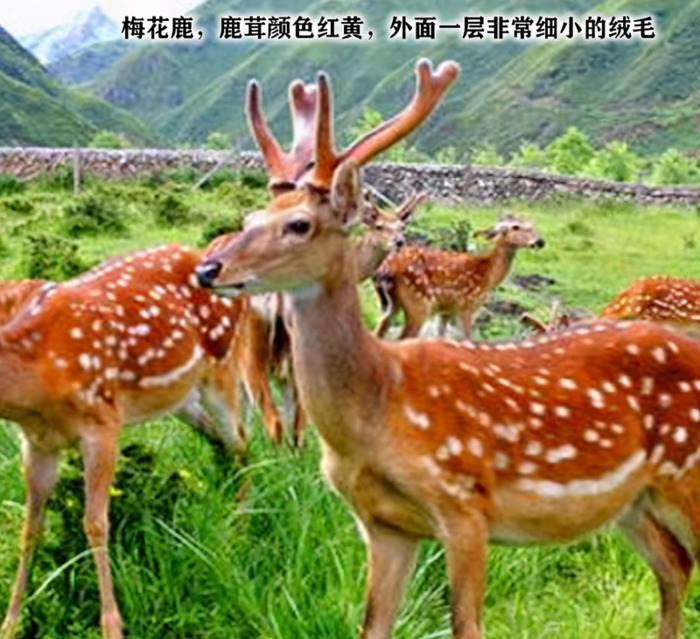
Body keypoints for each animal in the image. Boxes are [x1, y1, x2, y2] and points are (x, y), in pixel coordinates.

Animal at [0, 242, 273, 639]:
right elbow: (30, 528)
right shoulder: (37, 441)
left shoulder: (102, 420)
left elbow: (95, 523)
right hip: (181, 398)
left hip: (222, 368)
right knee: (223, 442)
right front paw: (10, 622)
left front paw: (112, 626)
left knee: (243, 442)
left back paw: (240, 527)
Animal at [373, 215, 545, 339]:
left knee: (378, 333)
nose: (540, 241)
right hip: (419, 302)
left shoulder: (446, 310)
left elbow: (442, 337)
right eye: (515, 226)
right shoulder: (466, 304)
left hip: (390, 305)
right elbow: (467, 339)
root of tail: (385, 269)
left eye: (532, 224)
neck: (488, 275)